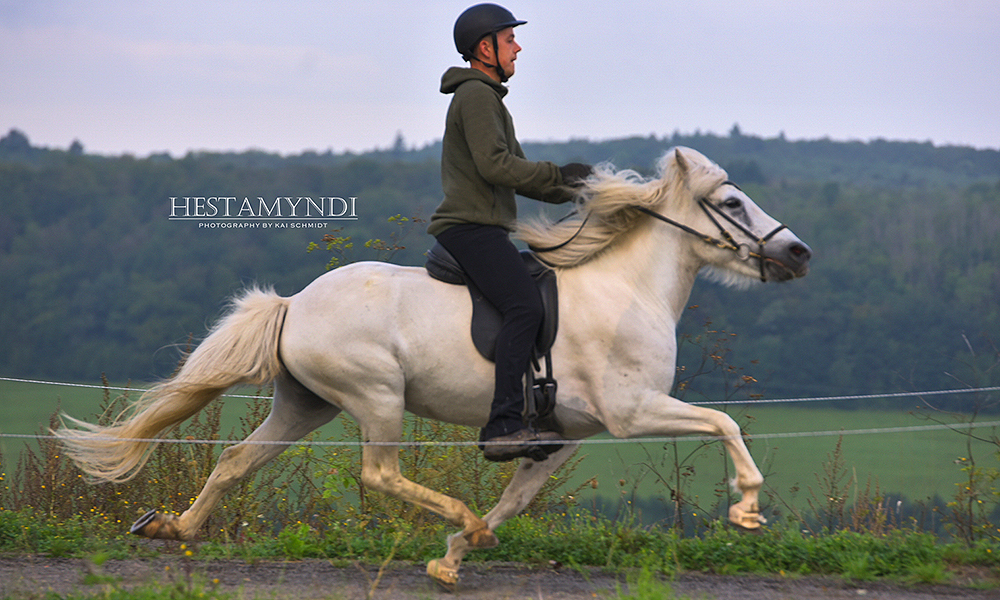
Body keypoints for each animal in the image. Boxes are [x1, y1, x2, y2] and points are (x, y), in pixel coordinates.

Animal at [56, 146, 812, 592]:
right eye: (733, 203)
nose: (798, 254)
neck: (627, 290)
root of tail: (294, 304)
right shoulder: (632, 412)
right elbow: (724, 423)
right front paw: (747, 508)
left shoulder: (563, 436)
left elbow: (518, 500)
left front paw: (452, 557)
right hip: (376, 396)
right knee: (379, 473)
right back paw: (458, 514)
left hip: (305, 404)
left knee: (238, 460)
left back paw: (176, 529)